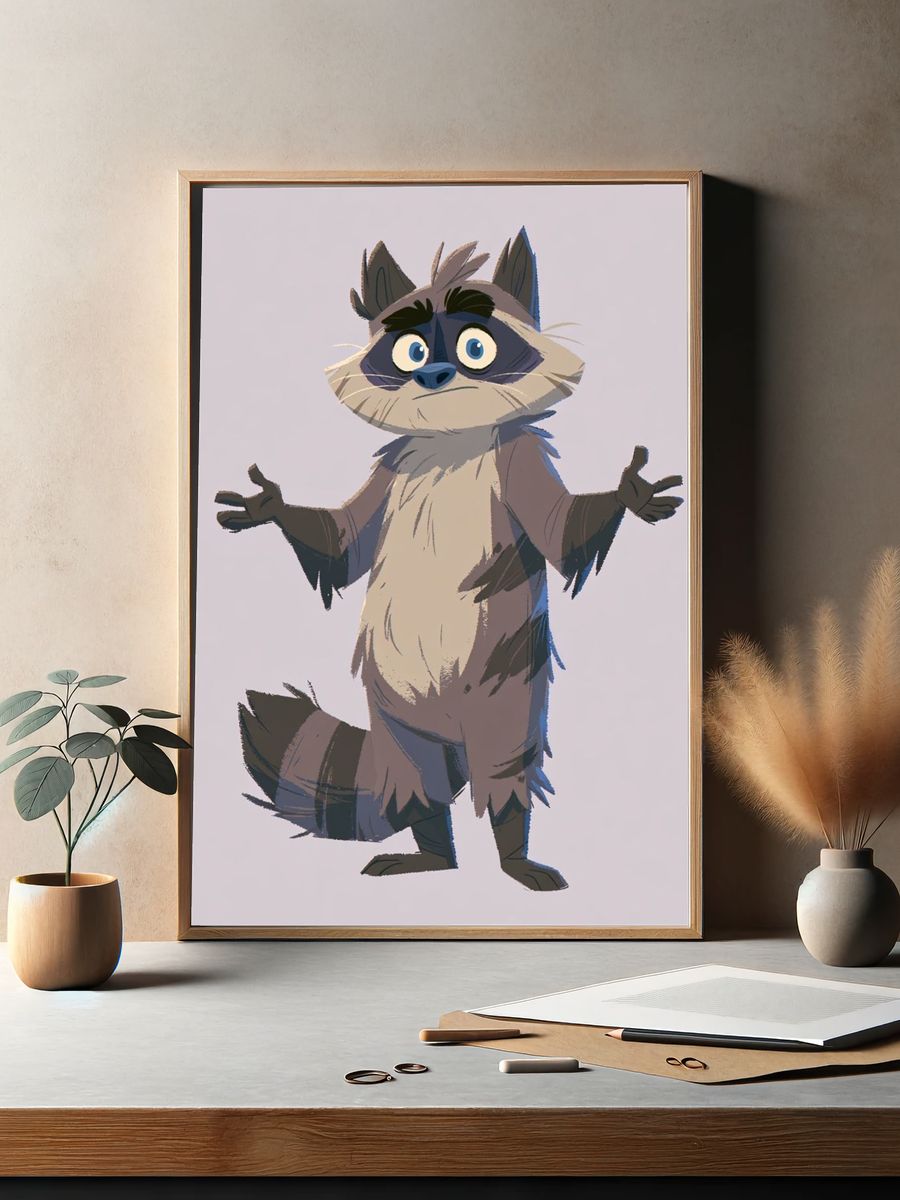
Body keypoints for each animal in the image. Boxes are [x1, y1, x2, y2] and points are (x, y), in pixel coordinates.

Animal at [215, 230, 683, 891]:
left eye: (475, 346)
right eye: (410, 350)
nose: (435, 374)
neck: (451, 440)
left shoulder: (518, 463)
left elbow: (560, 526)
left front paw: (630, 492)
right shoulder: (387, 478)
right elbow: (344, 540)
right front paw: (270, 505)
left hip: (506, 682)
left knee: (504, 767)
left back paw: (513, 857)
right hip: (396, 711)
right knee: (419, 777)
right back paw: (432, 853)